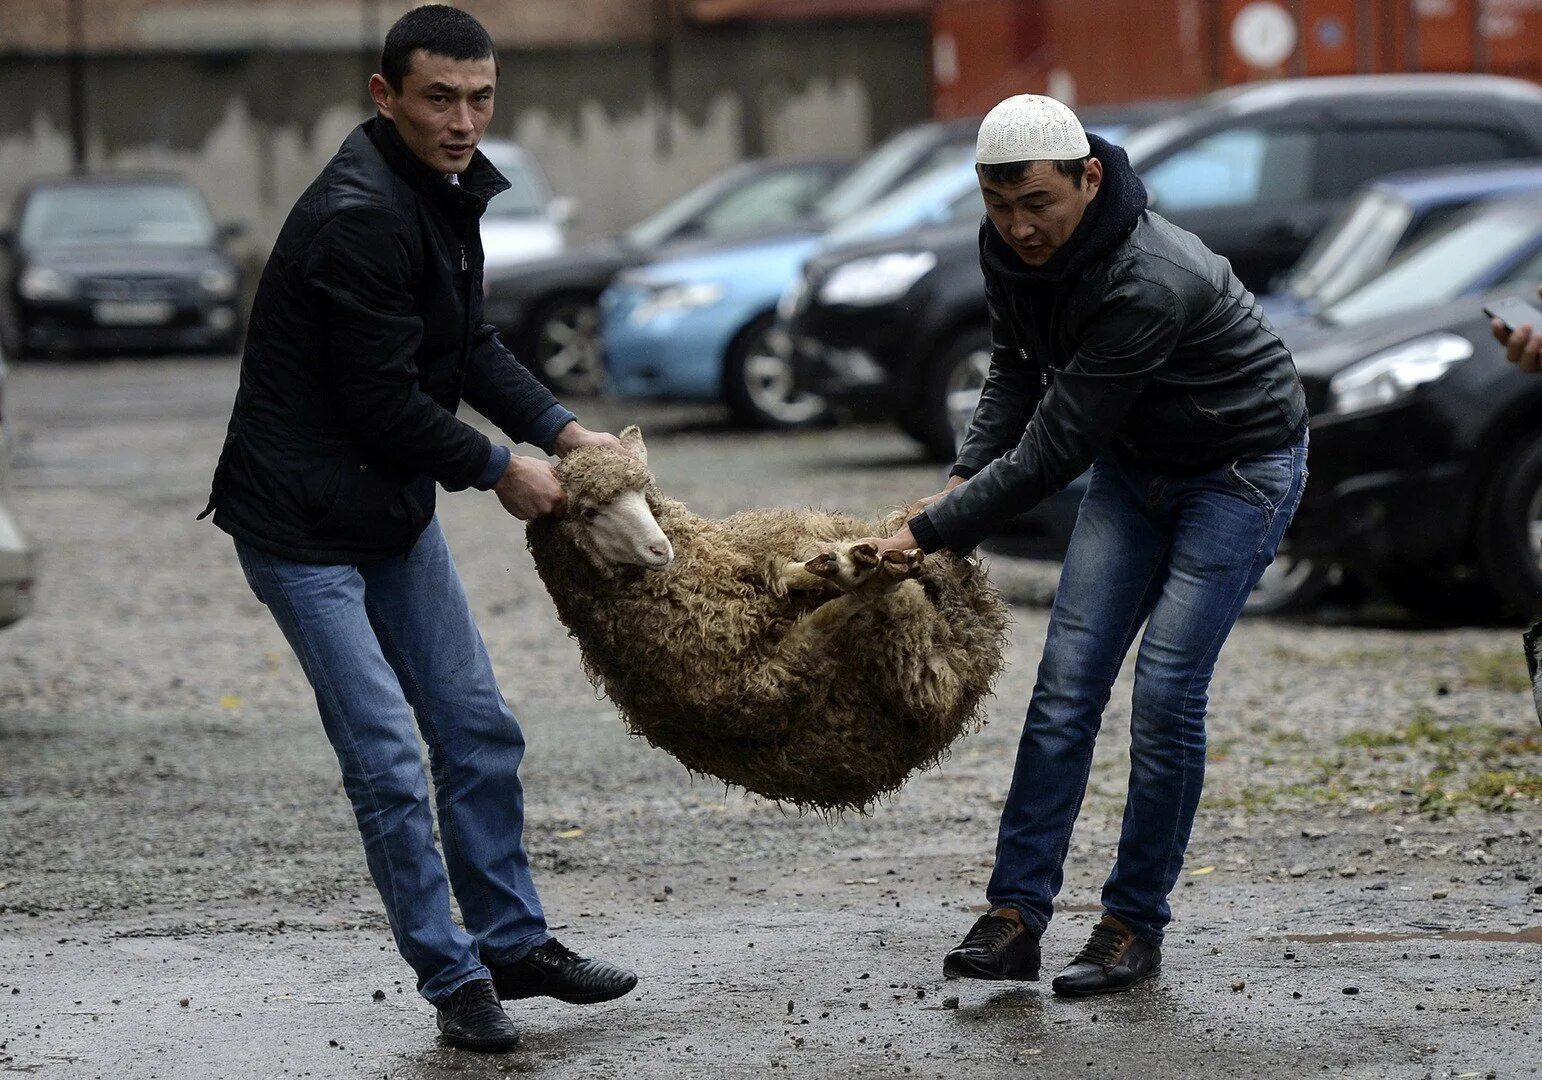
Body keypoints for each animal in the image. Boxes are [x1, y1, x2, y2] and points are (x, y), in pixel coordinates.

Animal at [524, 425, 1017, 814]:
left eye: (645, 494)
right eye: (588, 511)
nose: (660, 549)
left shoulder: (761, 571)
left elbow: (791, 574)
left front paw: (838, 565)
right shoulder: (769, 684)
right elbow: (827, 616)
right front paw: (857, 574)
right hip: (922, 663)